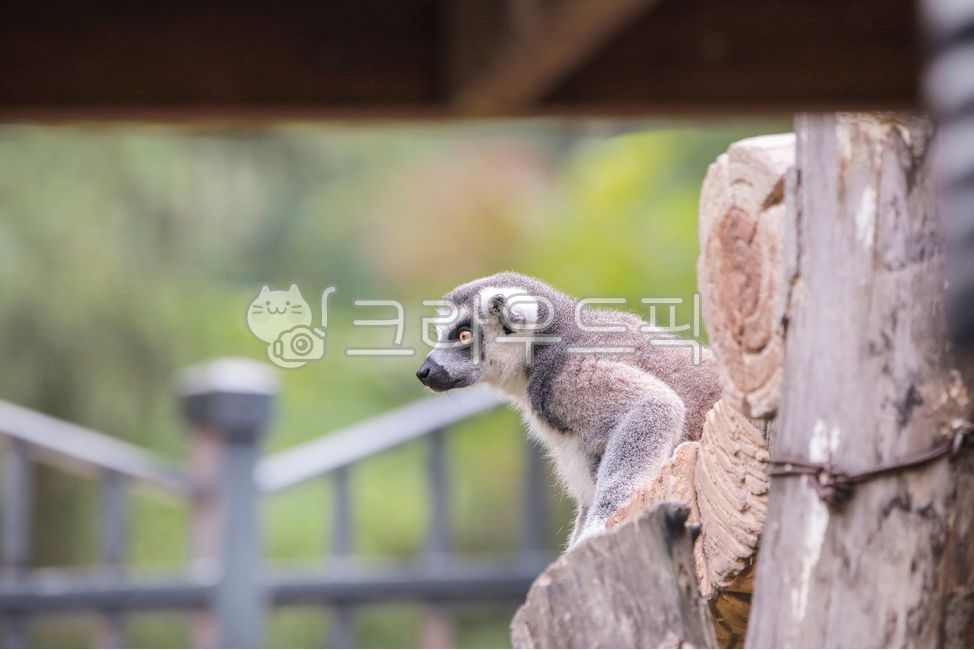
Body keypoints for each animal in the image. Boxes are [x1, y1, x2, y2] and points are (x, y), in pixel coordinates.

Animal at [416, 272, 721, 548]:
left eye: (463, 335)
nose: (424, 371)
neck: (539, 348)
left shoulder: (562, 376)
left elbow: (654, 404)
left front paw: (599, 526)